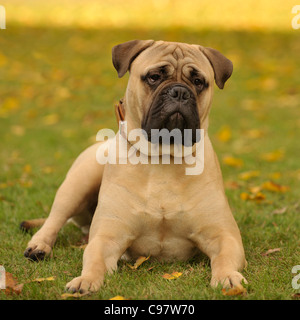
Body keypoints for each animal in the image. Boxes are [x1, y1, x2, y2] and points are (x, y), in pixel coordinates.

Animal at [23, 40, 247, 292]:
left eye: (199, 82)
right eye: (154, 77)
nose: (179, 92)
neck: (163, 157)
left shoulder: (223, 235)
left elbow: (225, 257)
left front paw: (228, 276)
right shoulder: (108, 237)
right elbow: (94, 258)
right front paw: (86, 280)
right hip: (76, 184)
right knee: (54, 220)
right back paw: (39, 246)